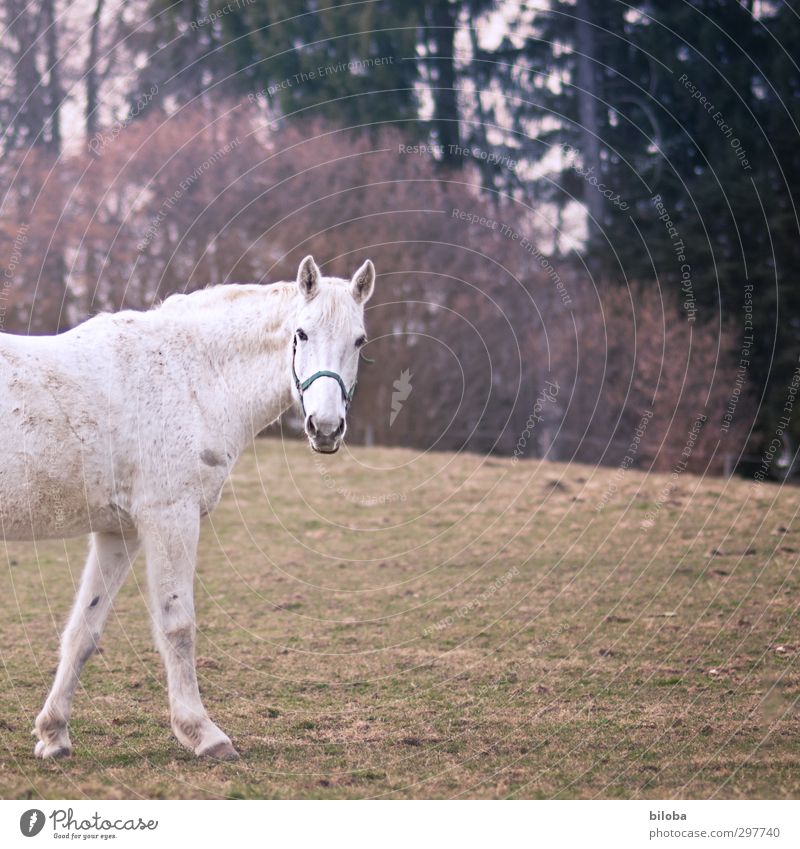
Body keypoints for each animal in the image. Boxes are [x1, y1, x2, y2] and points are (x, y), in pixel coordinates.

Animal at [0, 255, 376, 760]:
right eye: (301, 333)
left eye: (359, 340)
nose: (327, 427)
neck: (190, 378)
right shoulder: (170, 519)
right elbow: (177, 626)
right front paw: (203, 733)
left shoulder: (121, 532)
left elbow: (84, 630)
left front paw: (53, 734)